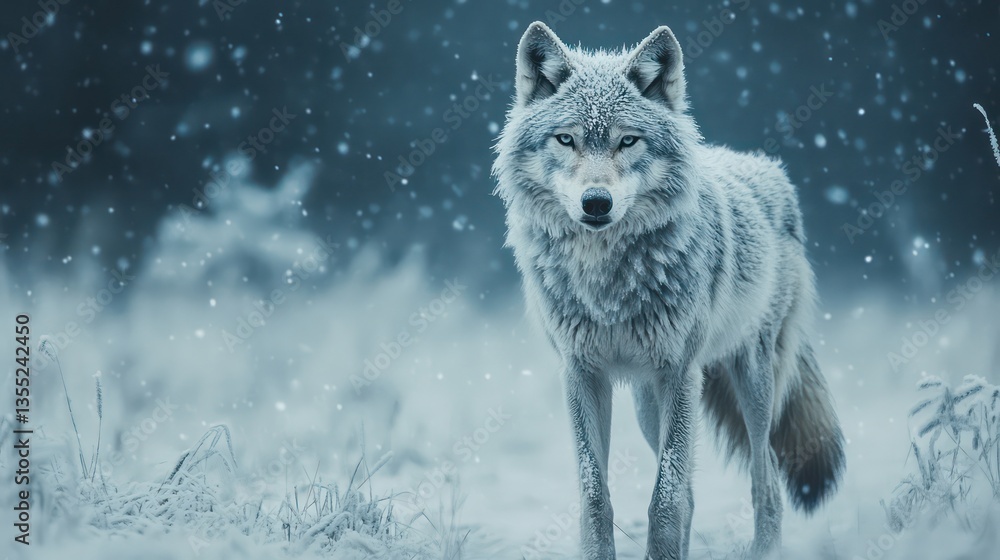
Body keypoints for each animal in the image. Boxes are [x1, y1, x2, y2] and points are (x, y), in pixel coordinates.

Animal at [493, 22, 845, 559]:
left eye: (628, 141)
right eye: (566, 139)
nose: (596, 203)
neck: (608, 283)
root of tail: (771, 172)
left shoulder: (680, 372)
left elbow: (665, 497)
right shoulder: (581, 374)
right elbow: (596, 496)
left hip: (751, 383)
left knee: (765, 484)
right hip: (647, 402)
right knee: (696, 492)